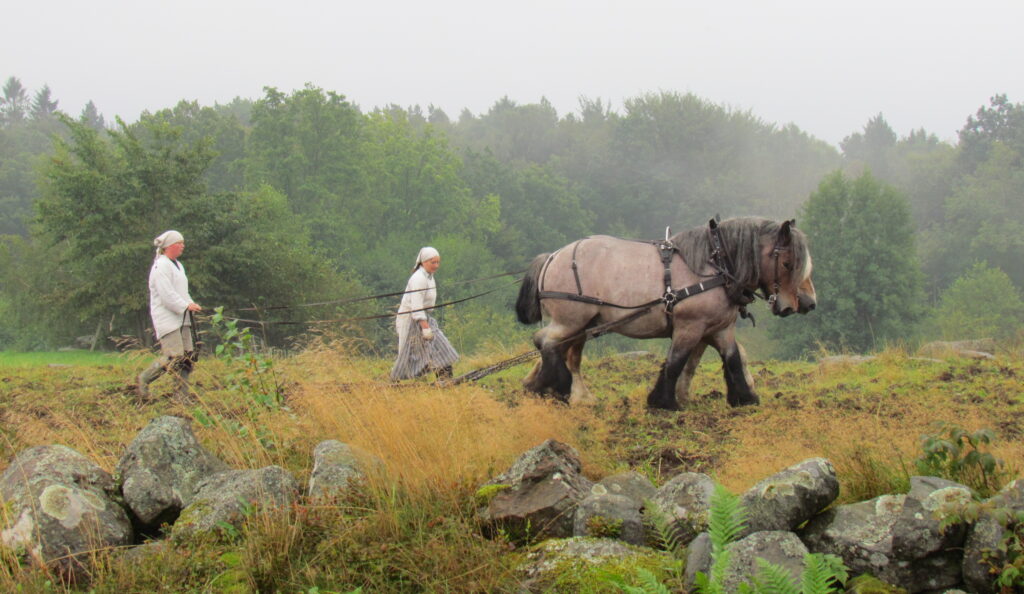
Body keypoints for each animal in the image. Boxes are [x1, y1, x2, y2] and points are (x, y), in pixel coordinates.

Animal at [516, 217, 819, 407]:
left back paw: (564, 391)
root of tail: (552, 257)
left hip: (583, 324)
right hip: (571, 320)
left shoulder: (719, 328)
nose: (808, 303)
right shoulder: (690, 326)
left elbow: (732, 359)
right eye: (789, 263)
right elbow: (676, 362)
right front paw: (664, 402)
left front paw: (745, 398)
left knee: (563, 351)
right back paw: (552, 386)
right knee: (545, 342)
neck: (715, 267)